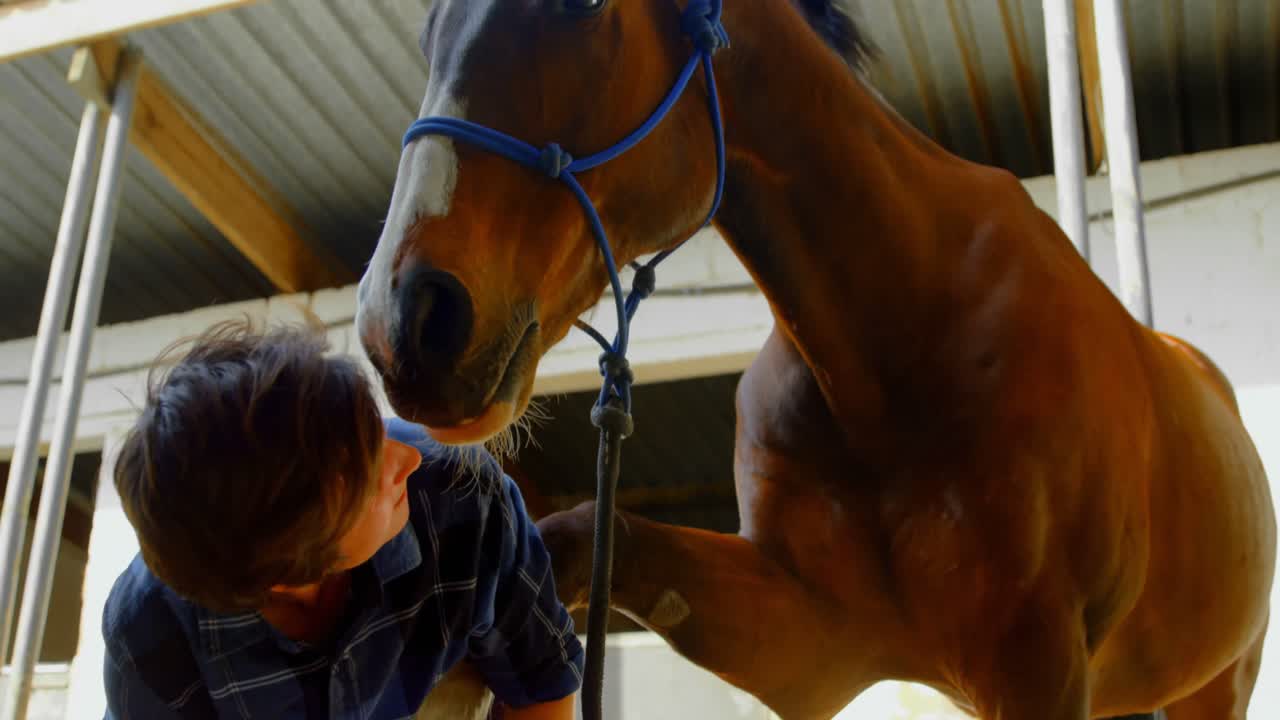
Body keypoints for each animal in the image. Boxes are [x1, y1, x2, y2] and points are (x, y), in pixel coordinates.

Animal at [354, 1, 1276, 718]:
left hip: (1214, 687)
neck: (893, 345)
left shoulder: (1037, 664)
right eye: (431, 25)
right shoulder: (811, 640)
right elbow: (576, 535)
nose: (404, 320)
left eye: (582, 5)